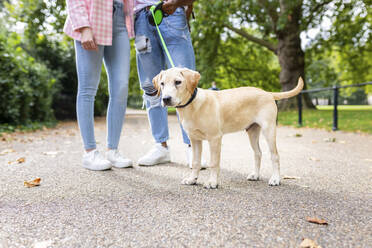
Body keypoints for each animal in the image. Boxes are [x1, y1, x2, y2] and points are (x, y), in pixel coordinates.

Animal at [153, 67, 304, 188]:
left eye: (178, 82)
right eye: (162, 84)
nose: (166, 99)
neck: (192, 105)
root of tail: (267, 93)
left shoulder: (215, 138)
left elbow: (214, 162)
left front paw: (212, 182)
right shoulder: (194, 139)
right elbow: (195, 162)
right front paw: (192, 179)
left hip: (269, 130)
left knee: (275, 155)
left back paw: (275, 179)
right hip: (252, 131)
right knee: (258, 153)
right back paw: (255, 175)